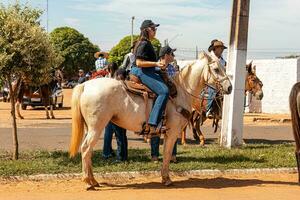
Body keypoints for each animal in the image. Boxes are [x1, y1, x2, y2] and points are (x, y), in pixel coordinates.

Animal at [68, 51, 232, 189]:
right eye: (216, 69)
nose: (229, 87)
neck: (180, 92)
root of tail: (85, 85)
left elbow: (166, 153)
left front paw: (165, 177)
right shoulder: (173, 132)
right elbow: (167, 154)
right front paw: (166, 179)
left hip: (91, 128)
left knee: (88, 150)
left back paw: (93, 180)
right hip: (97, 127)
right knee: (85, 148)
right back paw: (87, 182)